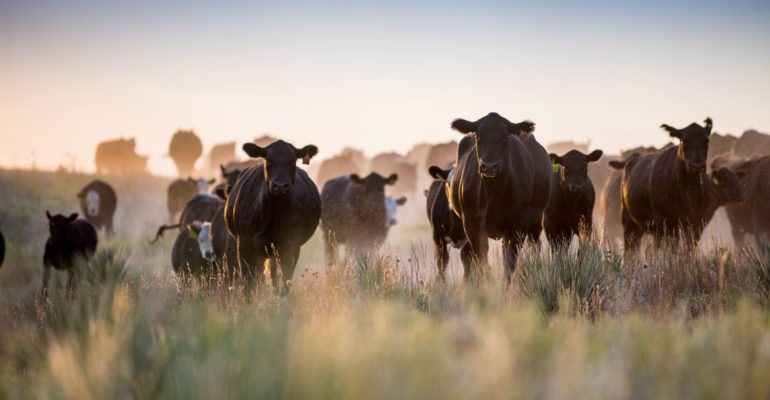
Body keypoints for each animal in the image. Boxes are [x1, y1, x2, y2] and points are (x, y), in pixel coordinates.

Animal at [224, 139, 320, 292]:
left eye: (292, 162)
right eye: (268, 162)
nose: (280, 186)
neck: (273, 216)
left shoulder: (291, 245)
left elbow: (286, 281)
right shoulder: (244, 245)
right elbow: (248, 283)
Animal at [444, 111, 552, 282]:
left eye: (504, 138)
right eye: (479, 137)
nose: (489, 166)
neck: (493, 193)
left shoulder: (518, 225)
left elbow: (509, 264)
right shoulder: (471, 224)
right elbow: (482, 263)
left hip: (535, 222)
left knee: (534, 248)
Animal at [616, 119, 712, 256]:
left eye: (706, 141)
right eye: (684, 141)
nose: (697, 166)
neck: (686, 189)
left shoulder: (696, 223)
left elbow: (688, 250)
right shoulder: (664, 222)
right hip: (629, 221)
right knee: (630, 250)